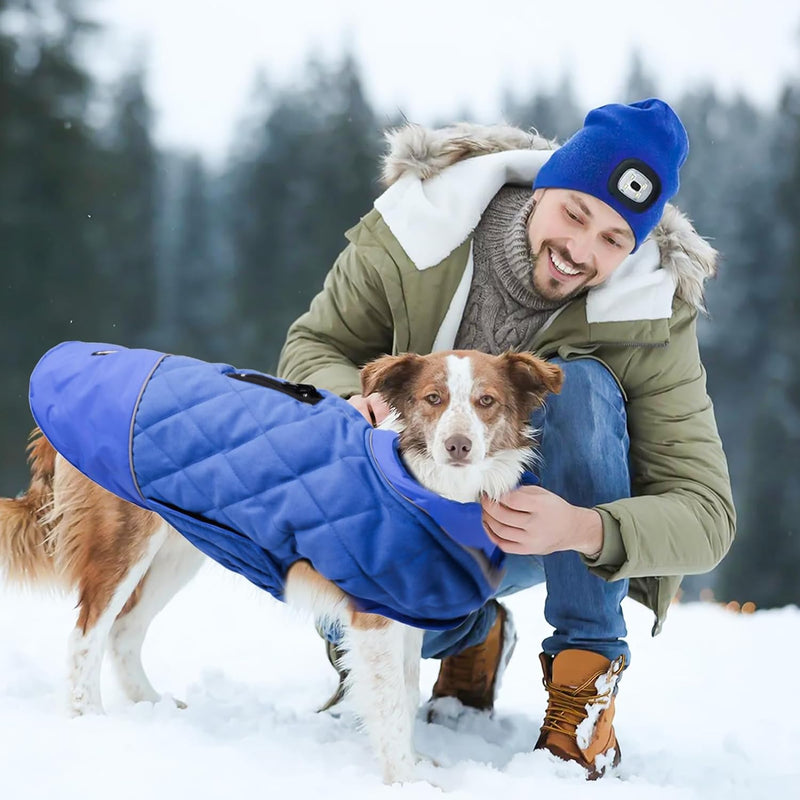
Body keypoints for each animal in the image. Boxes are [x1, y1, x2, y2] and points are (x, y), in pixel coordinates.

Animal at [0, 348, 564, 780]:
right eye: (433, 399)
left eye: (486, 402)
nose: (457, 445)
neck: (427, 488)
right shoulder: (374, 615)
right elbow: (388, 704)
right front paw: (407, 780)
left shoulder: (406, 606)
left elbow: (405, 692)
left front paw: (417, 763)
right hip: (123, 542)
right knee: (86, 636)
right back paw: (90, 720)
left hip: (179, 549)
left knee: (124, 631)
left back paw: (150, 708)